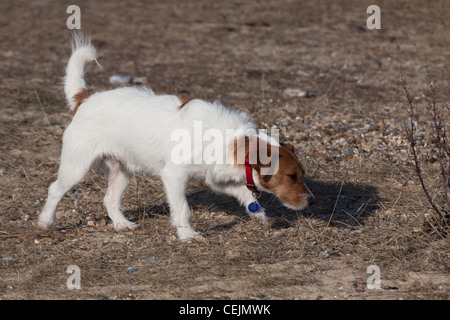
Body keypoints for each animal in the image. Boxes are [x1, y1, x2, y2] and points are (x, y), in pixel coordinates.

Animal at [37, 35, 312, 240]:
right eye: (291, 176)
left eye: (301, 174)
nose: (312, 200)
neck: (229, 140)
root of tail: (84, 99)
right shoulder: (174, 177)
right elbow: (182, 209)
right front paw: (187, 235)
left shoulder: (217, 178)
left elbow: (245, 194)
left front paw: (260, 216)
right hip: (76, 167)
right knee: (55, 190)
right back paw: (45, 222)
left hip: (122, 171)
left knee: (110, 199)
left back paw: (122, 224)